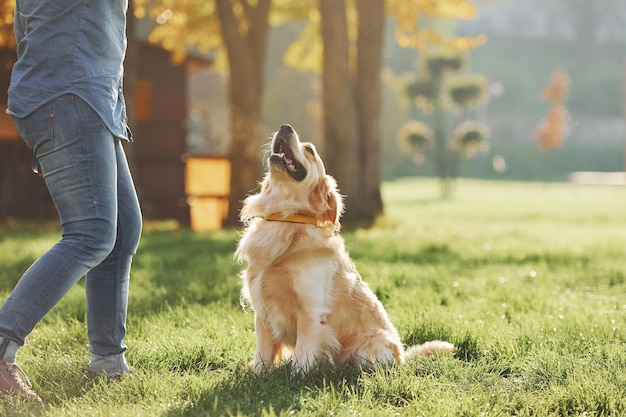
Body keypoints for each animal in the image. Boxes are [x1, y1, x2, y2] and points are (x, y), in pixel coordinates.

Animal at [234, 124, 454, 374]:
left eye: (309, 150)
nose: (285, 127)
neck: (287, 219)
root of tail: (404, 358)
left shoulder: (311, 311)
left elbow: (302, 359)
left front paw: (295, 379)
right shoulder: (262, 312)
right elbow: (262, 355)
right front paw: (258, 375)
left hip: (368, 350)